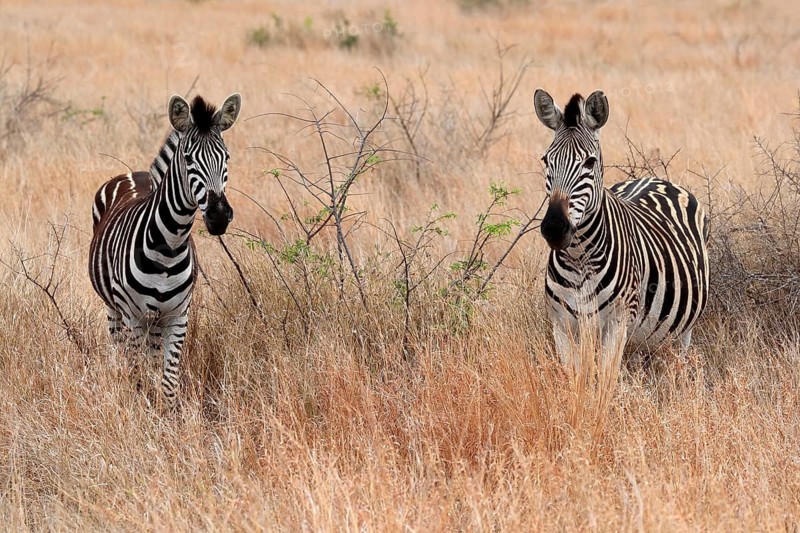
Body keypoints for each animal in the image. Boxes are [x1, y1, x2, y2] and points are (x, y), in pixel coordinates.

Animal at [89, 93, 242, 406]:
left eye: (227, 157)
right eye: (187, 159)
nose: (219, 216)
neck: (168, 246)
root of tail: (133, 173)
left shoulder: (178, 316)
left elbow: (168, 381)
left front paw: (166, 414)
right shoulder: (134, 316)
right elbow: (140, 376)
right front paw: (141, 408)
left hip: (156, 320)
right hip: (115, 308)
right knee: (121, 350)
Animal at [532, 88, 709, 363]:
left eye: (590, 162)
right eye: (545, 160)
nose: (554, 228)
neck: (579, 257)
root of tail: (654, 178)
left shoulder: (617, 323)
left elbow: (605, 374)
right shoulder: (562, 326)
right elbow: (574, 374)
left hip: (684, 330)